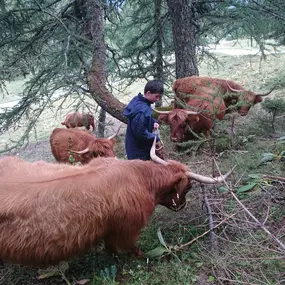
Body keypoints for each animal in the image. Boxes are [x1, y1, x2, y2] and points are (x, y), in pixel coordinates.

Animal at [0, 139, 233, 266]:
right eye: (188, 187)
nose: (182, 205)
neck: (141, 178)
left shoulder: (110, 229)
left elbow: (110, 248)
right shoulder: (127, 228)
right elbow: (129, 247)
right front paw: (142, 256)